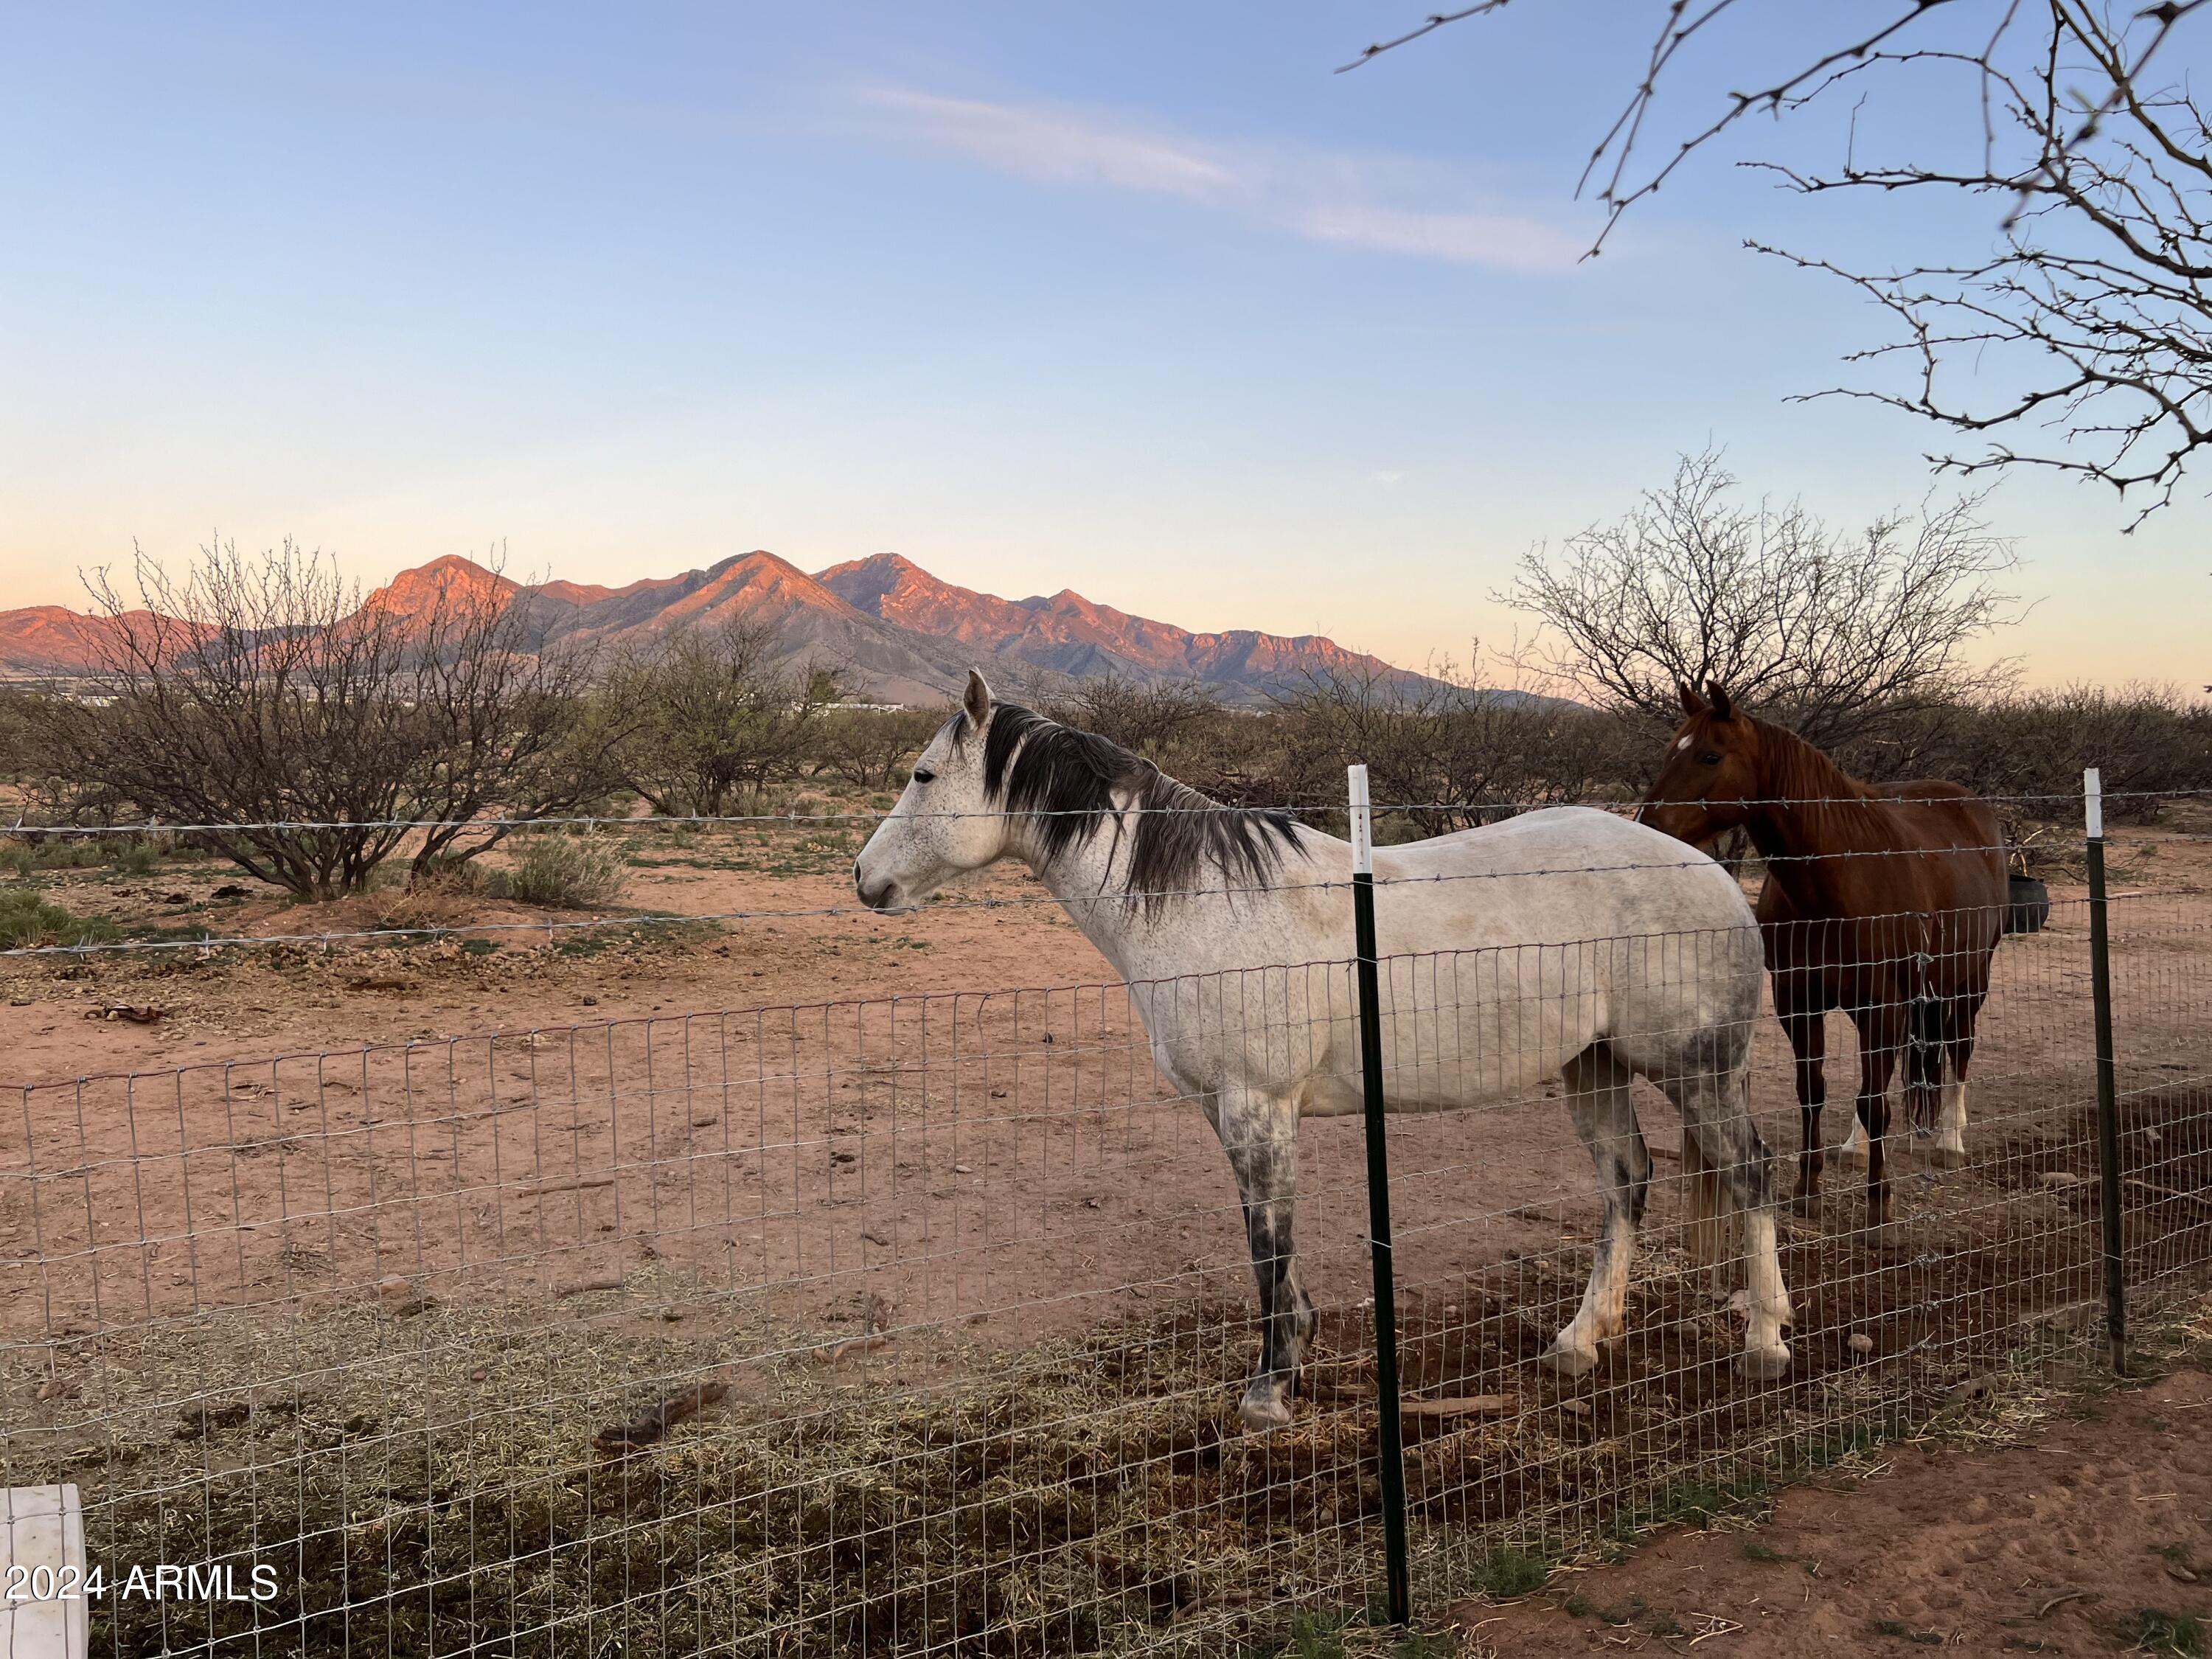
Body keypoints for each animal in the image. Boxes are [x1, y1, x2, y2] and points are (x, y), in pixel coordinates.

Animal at [849, 672, 1796, 1433]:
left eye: (923, 775)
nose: (865, 880)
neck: (1207, 904)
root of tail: (1712, 873)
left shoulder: (1258, 1106)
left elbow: (1267, 1242)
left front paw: (1270, 1391)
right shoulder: (1229, 1111)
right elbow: (1270, 1242)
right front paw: (1292, 1356)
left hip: (1698, 1069)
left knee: (1750, 1171)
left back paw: (1765, 1339)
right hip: (1592, 1065)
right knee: (1626, 1180)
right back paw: (1580, 1340)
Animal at [1646, 686, 2008, 1239]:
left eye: (1710, 756)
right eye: (1670, 751)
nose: (1649, 825)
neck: (1839, 879)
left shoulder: (1882, 1004)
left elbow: (1874, 1101)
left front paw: (1879, 1207)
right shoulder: (1801, 1002)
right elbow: (1814, 1092)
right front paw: (1808, 1189)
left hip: (1968, 979)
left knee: (1959, 1048)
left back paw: (1952, 1138)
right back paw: (1855, 1147)